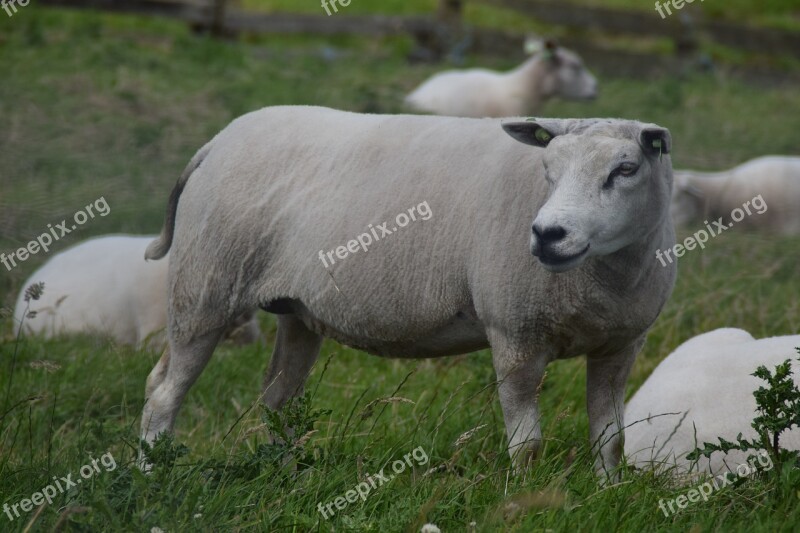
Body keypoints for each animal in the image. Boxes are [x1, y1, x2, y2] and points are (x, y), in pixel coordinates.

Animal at [138, 105, 676, 478]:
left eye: (626, 169)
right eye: (548, 170)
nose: (548, 234)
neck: (605, 278)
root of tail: (217, 142)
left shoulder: (621, 344)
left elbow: (610, 441)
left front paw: (607, 491)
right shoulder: (515, 334)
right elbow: (528, 447)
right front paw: (525, 497)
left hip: (295, 309)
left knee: (278, 399)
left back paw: (282, 475)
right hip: (204, 286)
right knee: (163, 392)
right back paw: (150, 473)